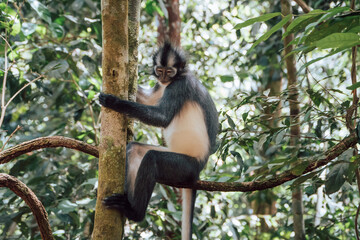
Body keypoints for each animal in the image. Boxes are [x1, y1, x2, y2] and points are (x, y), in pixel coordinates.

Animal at [98, 42, 218, 239]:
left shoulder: (179, 85)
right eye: (159, 70)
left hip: (185, 167)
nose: (163, 78)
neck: (176, 78)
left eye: (170, 72)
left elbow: (161, 118)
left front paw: (113, 102)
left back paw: (134, 213)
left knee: (152, 158)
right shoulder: (163, 87)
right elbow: (148, 99)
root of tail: (199, 169)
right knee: (136, 150)